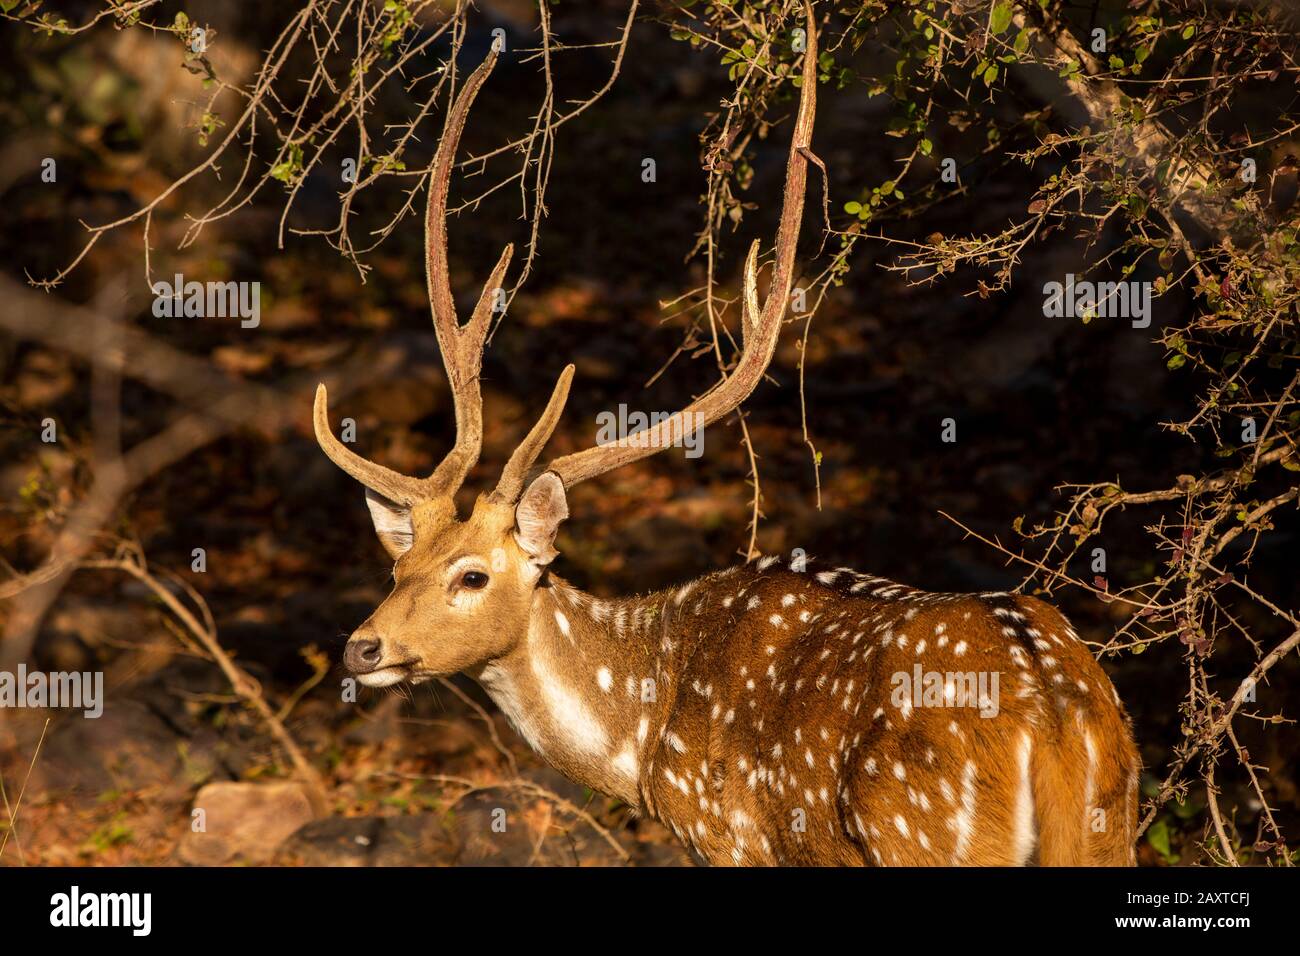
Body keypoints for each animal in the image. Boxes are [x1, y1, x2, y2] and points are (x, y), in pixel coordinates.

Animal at [314, 11, 1138, 868]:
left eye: (472, 576)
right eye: (398, 564)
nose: (362, 648)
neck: (640, 743)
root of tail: (1053, 714)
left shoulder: (729, 839)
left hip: (926, 833)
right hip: (1109, 823)